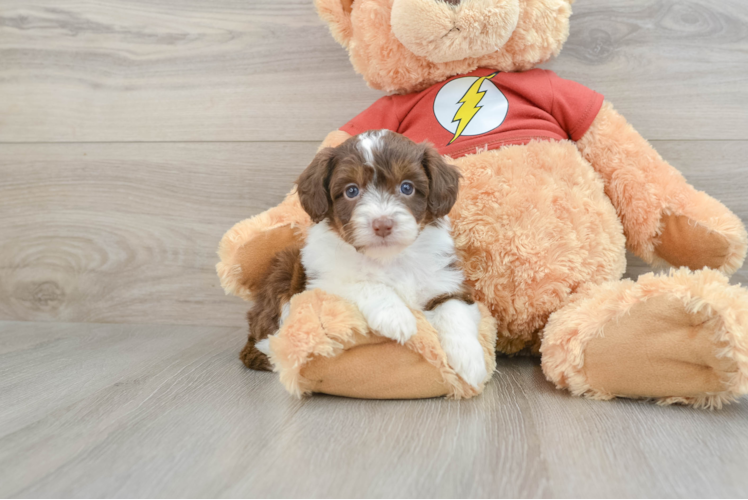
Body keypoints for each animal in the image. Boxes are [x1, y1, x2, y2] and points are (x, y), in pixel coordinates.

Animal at [243, 129, 490, 386]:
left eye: (407, 188)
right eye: (351, 190)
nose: (382, 224)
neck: (389, 258)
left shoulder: (446, 281)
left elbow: (455, 308)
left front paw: (470, 360)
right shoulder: (323, 281)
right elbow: (365, 284)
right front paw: (397, 317)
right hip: (285, 269)